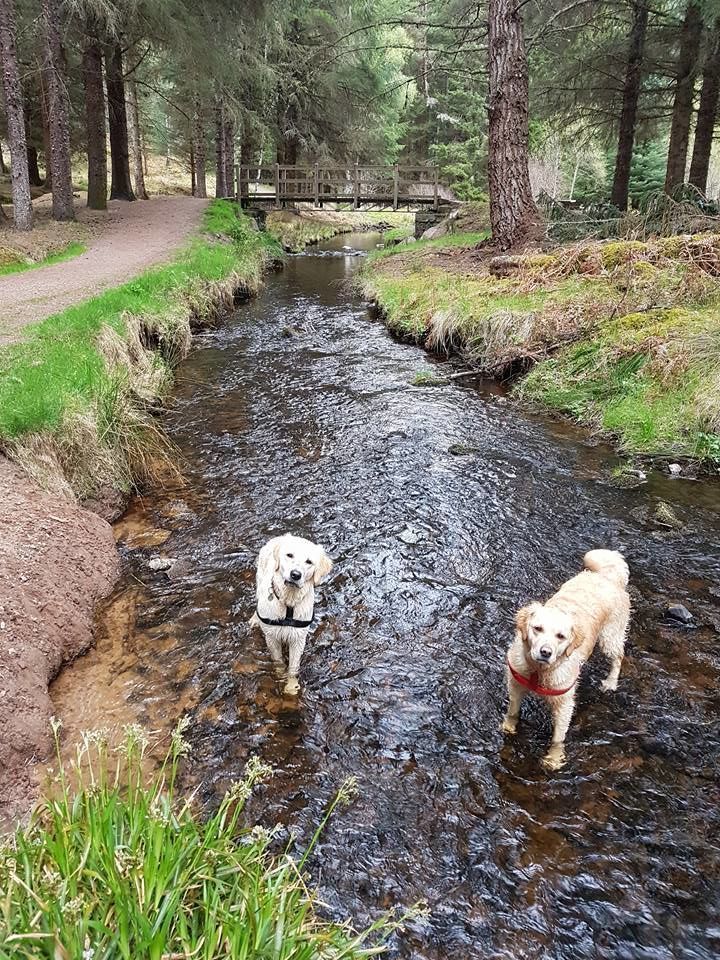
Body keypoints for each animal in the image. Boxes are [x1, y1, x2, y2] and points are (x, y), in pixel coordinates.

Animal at [249, 536, 334, 692]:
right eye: (289, 555)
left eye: (309, 562)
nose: (295, 575)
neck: (289, 601)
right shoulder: (272, 637)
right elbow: (278, 662)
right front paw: (280, 677)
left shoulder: (298, 638)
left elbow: (294, 667)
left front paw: (291, 687)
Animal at [500, 552, 632, 768]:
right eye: (537, 628)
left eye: (560, 636)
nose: (545, 652)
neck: (539, 671)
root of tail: (607, 576)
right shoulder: (517, 682)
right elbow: (513, 711)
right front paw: (508, 728)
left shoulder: (564, 703)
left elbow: (558, 737)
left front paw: (554, 758)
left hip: (609, 637)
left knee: (618, 657)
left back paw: (611, 682)